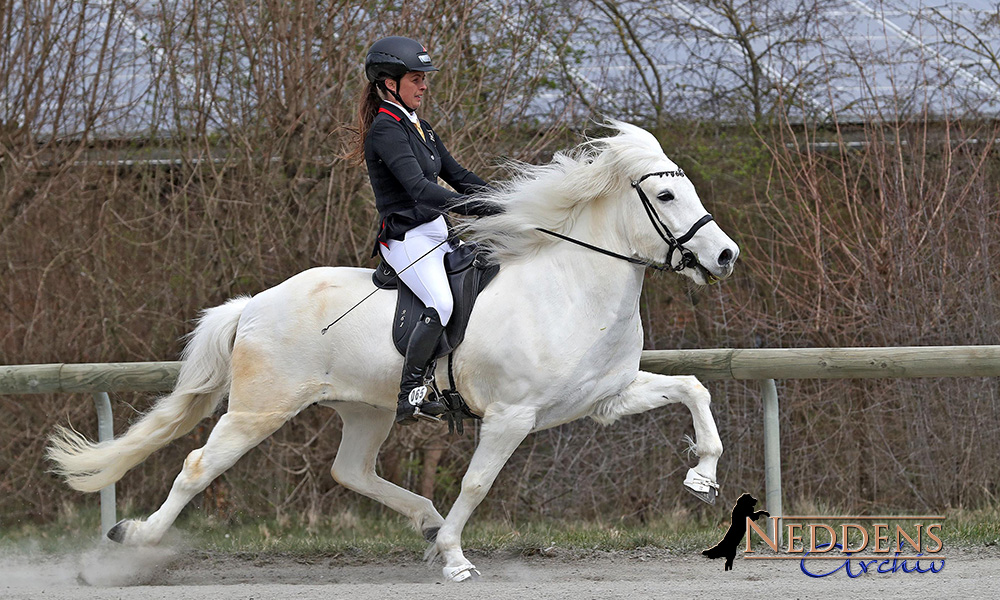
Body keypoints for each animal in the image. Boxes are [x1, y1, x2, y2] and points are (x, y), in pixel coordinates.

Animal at [48, 120, 736, 580]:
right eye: (666, 197)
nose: (725, 256)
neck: (571, 286)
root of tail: (253, 304)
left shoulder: (605, 398)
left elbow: (694, 389)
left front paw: (702, 476)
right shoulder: (511, 416)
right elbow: (478, 483)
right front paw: (455, 558)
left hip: (366, 409)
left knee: (349, 470)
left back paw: (425, 518)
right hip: (259, 408)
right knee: (197, 468)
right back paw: (132, 541)